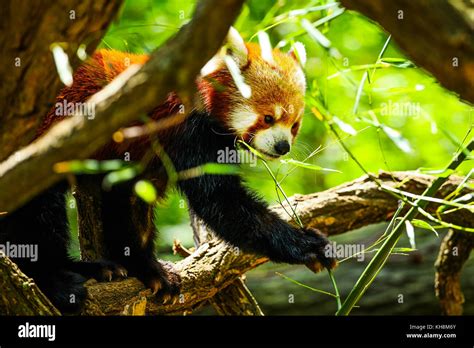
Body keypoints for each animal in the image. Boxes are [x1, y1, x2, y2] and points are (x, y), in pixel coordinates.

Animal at [0, 27, 336, 312]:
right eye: (268, 118)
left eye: (294, 125)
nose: (283, 147)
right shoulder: (185, 130)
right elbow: (221, 203)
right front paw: (305, 245)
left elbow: (130, 204)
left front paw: (147, 269)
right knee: (37, 212)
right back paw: (58, 278)